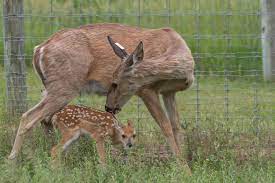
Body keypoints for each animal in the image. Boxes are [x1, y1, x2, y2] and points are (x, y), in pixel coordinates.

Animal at [8, 23, 194, 173]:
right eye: (113, 82)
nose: (108, 107)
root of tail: (39, 49)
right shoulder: (147, 90)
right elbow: (166, 127)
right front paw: (185, 170)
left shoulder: (168, 92)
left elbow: (177, 127)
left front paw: (182, 163)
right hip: (64, 86)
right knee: (28, 116)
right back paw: (13, 163)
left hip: (51, 87)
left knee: (45, 120)